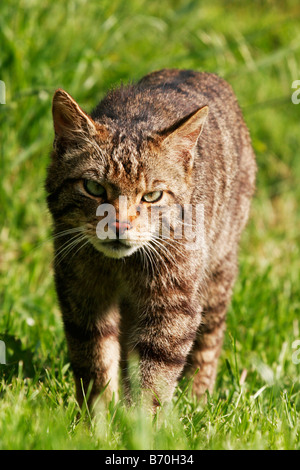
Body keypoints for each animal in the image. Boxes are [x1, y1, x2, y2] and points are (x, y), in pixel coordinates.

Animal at [45, 68, 255, 410]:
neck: (122, 267)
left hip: (216, 276)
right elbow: (95, 363)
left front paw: (138, 420)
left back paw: (197, 400)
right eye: (93, 188)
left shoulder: (173, 303)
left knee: (209, 343)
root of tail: (198, 71)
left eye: (152, 196)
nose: (118, 225)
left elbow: (154, 374)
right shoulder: (81, 292)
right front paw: (96, 417)